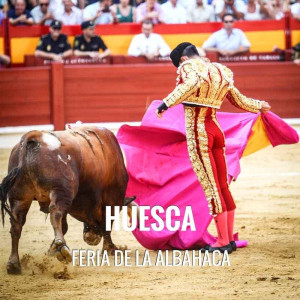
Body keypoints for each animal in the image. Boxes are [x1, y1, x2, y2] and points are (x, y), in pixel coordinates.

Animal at [0, 126, 134, 274]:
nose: (92, 237)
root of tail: (34, 136)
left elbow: (64, 226)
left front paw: (51, 250)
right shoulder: (111, 201)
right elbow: (107, 224)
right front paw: (111, 249)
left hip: (20, 197)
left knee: (16, 225)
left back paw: (14, 264)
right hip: (61, 191)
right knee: (55, 213)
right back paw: (61, 247)